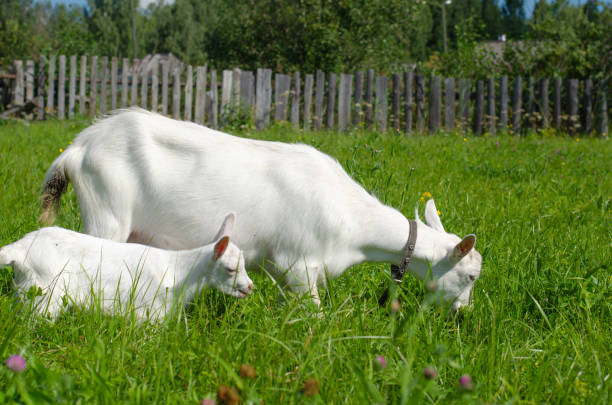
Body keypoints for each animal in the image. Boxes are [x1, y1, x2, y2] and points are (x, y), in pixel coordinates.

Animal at [0, 211, 253, 318]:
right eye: (230, 269)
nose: (250, 287)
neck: (177, 270)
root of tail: (20, 248)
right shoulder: (149, 313)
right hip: (44, 294)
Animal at [40, 107, 482, 310]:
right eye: (472, 275)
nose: (463, 313)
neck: (354, 223)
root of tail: (77, 149)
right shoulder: (298, 263)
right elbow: (315, 314)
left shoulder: (284, 270)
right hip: (106, 213)